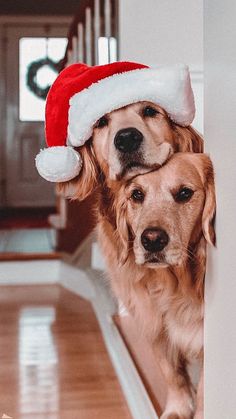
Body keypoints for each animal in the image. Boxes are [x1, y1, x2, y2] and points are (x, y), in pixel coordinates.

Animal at [95, 153, 216, 419]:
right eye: (137, 195)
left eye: (184, 193)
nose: (151, 240)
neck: (177, 285)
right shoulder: (154, 323)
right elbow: (172, 373)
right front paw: (177, 409)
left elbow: (205, 390)